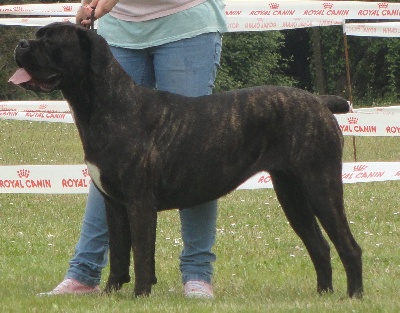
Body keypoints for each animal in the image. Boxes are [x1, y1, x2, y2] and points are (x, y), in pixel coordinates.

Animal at [10, 22, 362, 298]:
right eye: (38, 35)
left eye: (51, 41)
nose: (22, 43)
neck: (106, 105)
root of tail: (319, 101)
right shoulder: (114, 204)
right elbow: (120, 253)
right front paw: (110, 294)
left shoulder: (139, 203)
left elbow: (142, 253)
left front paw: (140, 295)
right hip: (292, 194)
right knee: (320, 246)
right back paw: (323, 295)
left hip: (321, 186)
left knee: (349, 246)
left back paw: (353, 297)